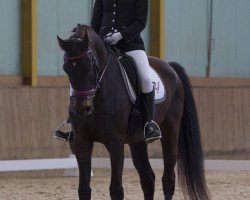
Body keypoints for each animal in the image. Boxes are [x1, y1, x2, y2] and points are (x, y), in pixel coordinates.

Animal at [56, 24, 209, 199]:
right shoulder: (82, 141)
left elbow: (116, 190)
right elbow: (84, 189)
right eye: (66, 68)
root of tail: (171, 69)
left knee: (168, 179)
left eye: (90, 65)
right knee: (148, 178)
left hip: (170, 132)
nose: (83, 108)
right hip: (137, 140)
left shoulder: (115, 143)